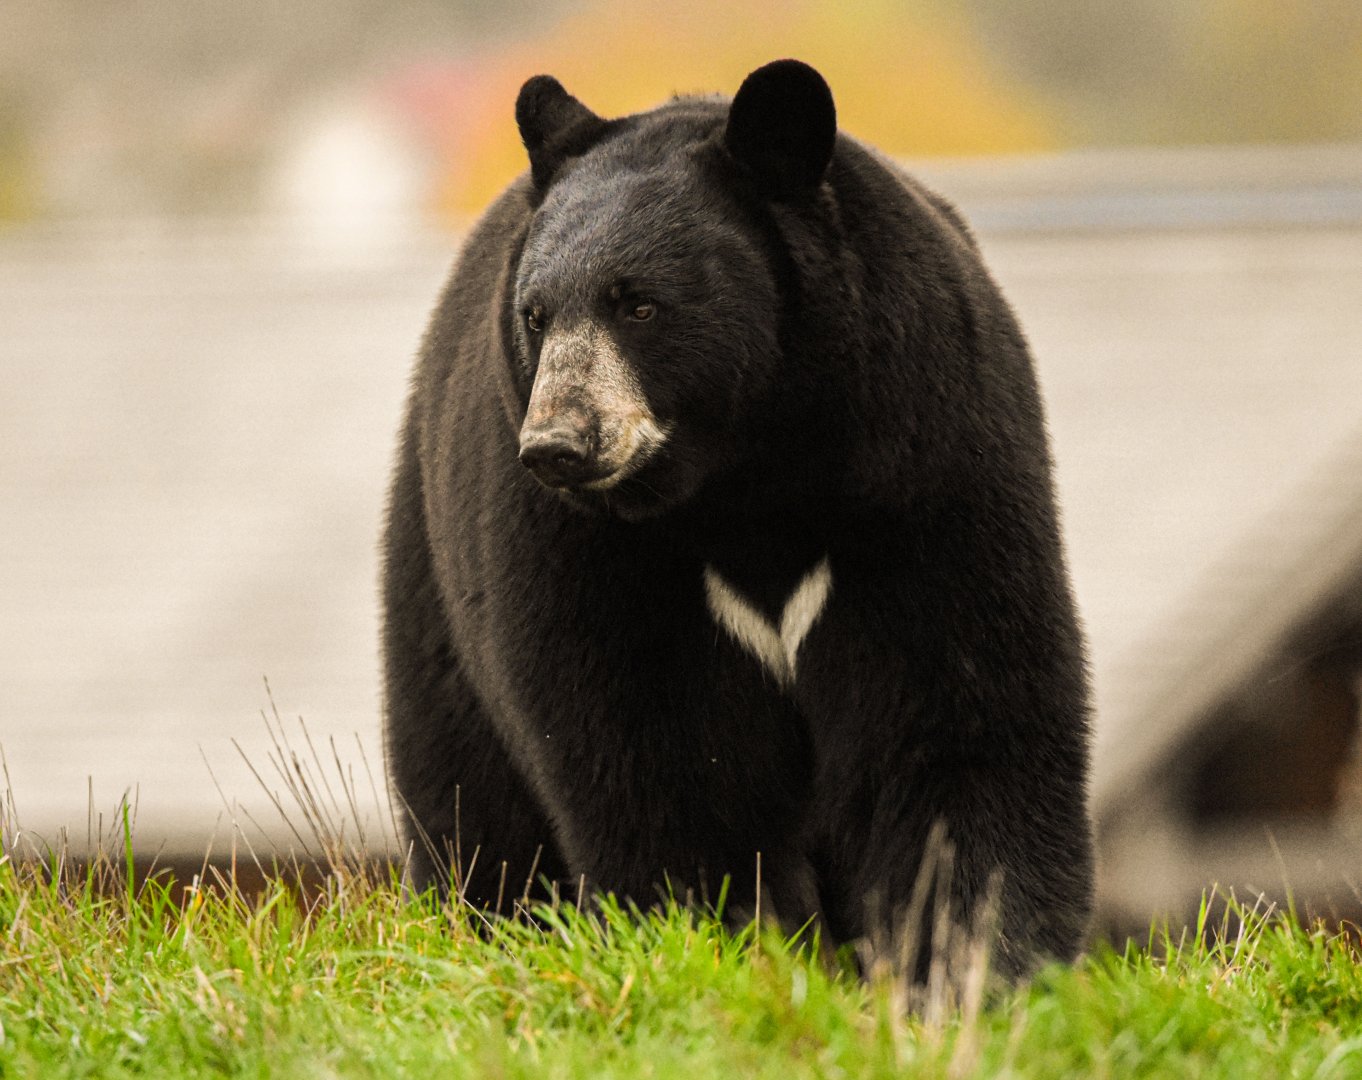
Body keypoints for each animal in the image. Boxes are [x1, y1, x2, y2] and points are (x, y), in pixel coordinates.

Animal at [382, 59, 1093, 979]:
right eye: (536, 315)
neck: (749, 479)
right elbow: (656, 753)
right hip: (433, 585)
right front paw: (731, 947)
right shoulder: (583, 547)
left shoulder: (922, 470)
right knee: (469, 799)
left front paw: (976, 963)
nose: (558, 444)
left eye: (639, 305)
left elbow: (958, 715)